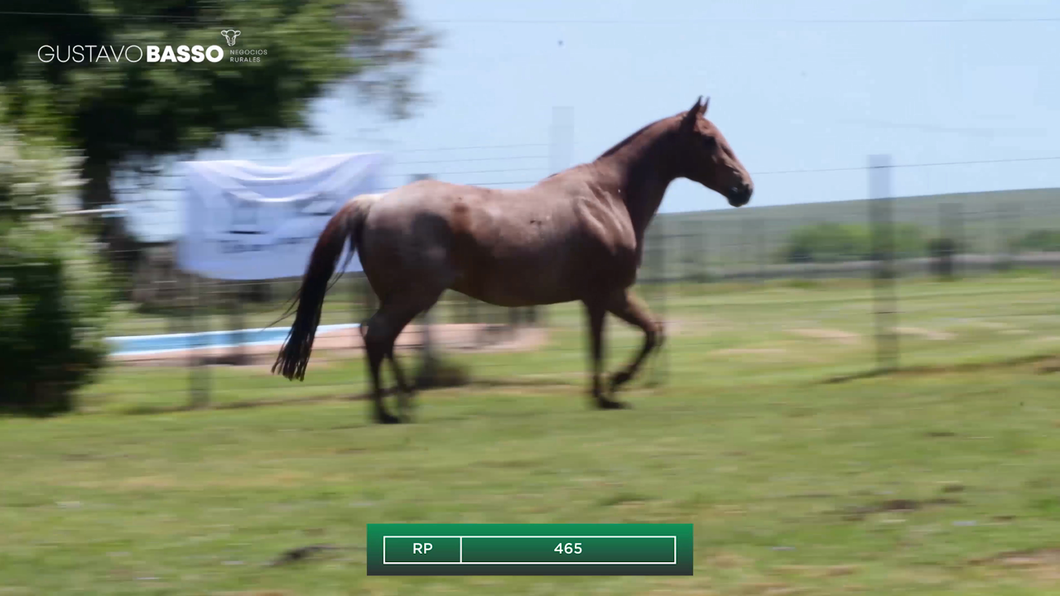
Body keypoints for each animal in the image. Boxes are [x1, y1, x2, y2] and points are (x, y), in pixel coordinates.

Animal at [273, 96, 754, 422]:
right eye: (708, 140)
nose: (744, 188)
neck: (609, 197)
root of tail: (373, 203)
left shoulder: (601, 298)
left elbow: (630, 337)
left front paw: (604, 393)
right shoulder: (610, 293)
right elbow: (636, 337)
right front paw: (612, 390)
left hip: (402, 296)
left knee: (378, 338)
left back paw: (400, 403)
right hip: (415, 295)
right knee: (377, 336)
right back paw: (393, 410)